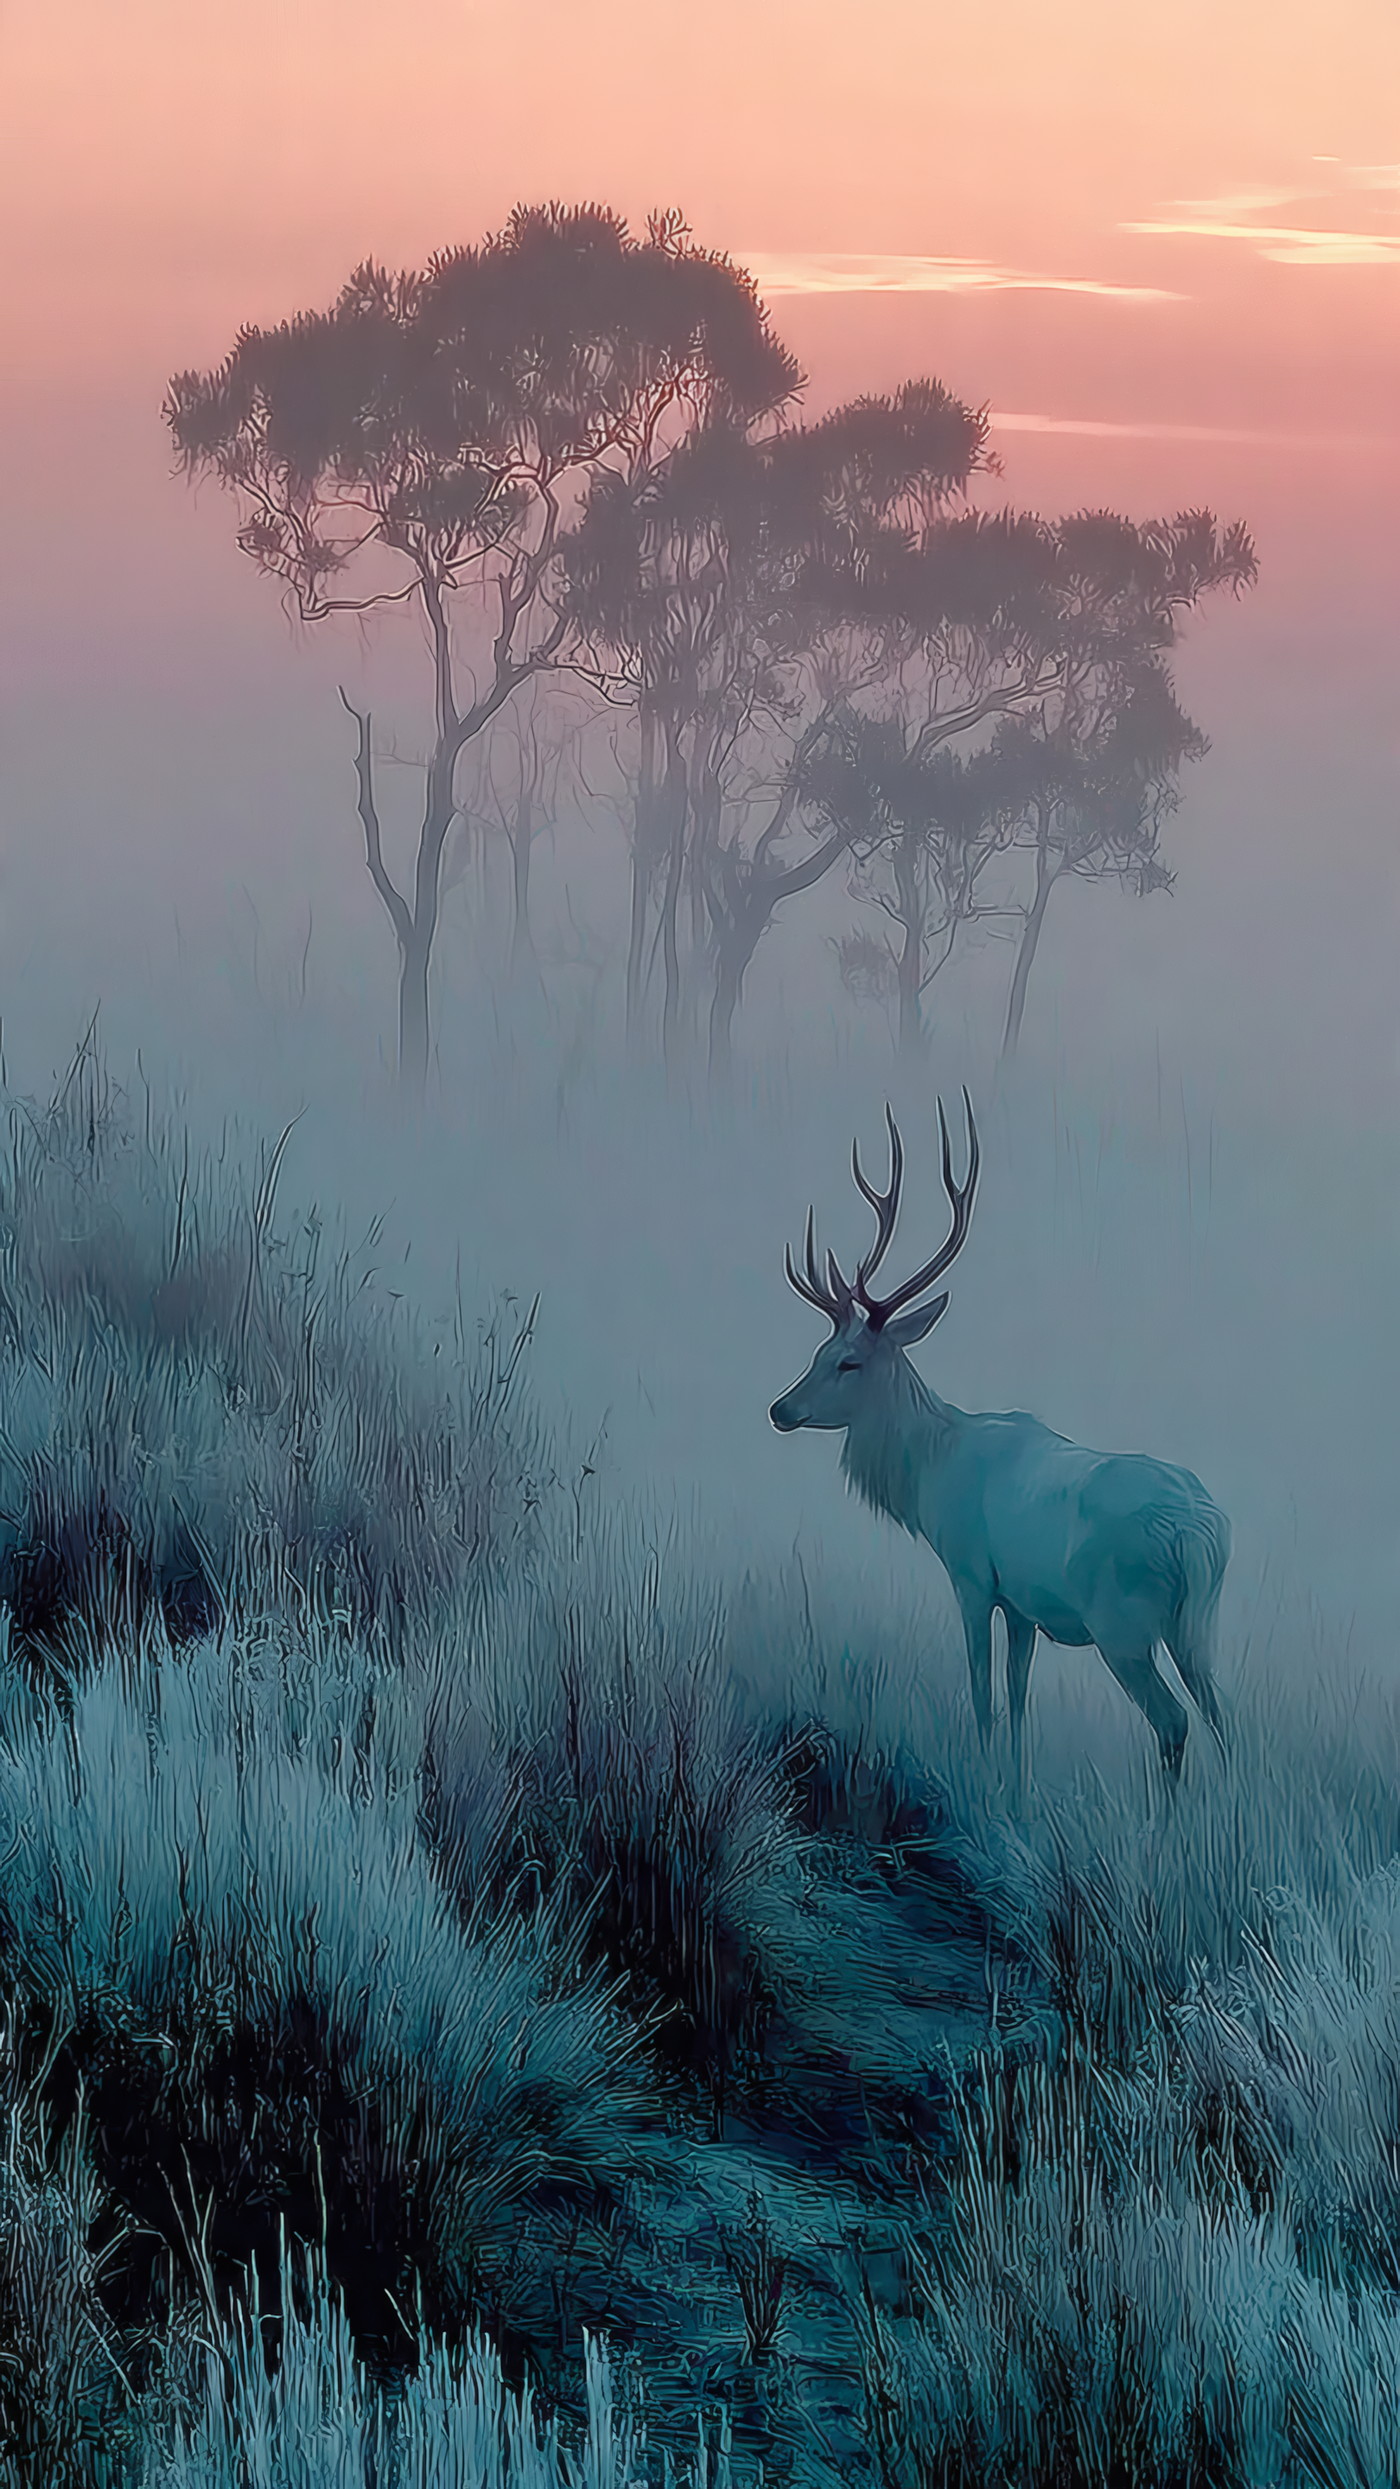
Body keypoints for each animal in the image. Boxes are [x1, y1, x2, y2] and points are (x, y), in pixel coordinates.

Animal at [769, 1095, 1230, 1784]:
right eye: (818, 1352)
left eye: (848, 1362)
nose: (780, 1409)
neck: (929, 1476)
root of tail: (1197, 1534)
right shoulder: (1021, 1603)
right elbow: (1017, 1701)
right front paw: (1015, 1784)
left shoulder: (970, 1573)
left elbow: (983, 1698)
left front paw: (986, 1779)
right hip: (1199, 1622)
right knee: (1225, 1720)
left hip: (1122, 1621)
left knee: (1173, 1722)